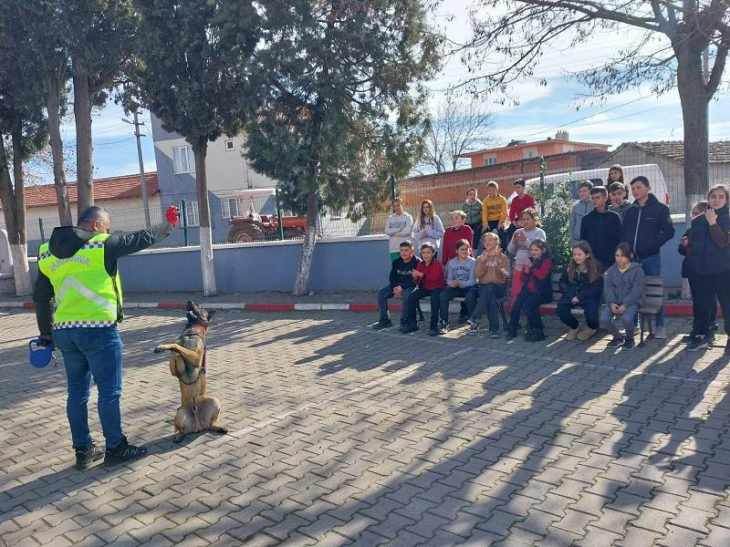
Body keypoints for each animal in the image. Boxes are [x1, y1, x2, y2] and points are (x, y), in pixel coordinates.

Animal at [151, 302, 225, 444]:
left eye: (200, 307)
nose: (189, 301)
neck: (190, 332)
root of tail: (198, 425)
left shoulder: (195, 357)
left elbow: (178, 348)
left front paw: (164, 347)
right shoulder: (175, 370)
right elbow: (176, 350)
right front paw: (167, 349)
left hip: (214, 401)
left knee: (211, 424)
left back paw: (219, 427)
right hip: (180, 412)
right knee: (181, 430)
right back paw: (179, 436)